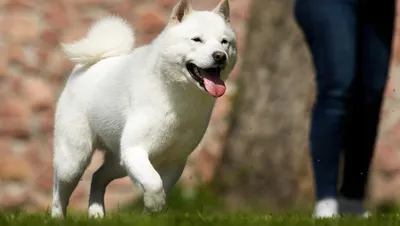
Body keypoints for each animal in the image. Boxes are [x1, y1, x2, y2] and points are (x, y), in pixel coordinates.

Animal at [50, 0, 238, 219]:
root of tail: (83, 67)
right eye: (197, 39)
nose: (220, 56)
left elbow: (162, 185)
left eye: (224, 42)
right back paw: (57, 218)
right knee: (59, 192)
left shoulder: (175, 160)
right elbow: (154, 183)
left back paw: (96, 214)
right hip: (74, 161)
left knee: (97, 177)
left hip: (118, 163)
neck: (178, 96)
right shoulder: (135, 150)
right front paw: (153, 205)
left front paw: (151, 214)